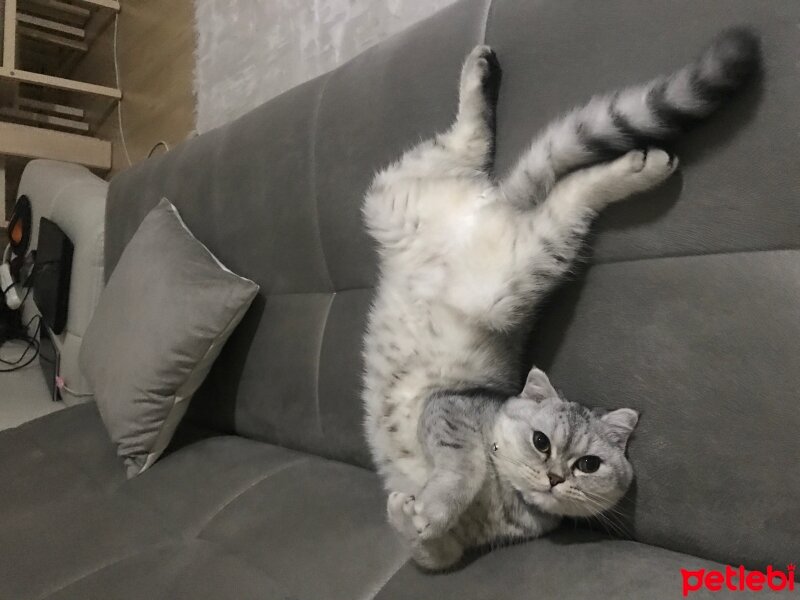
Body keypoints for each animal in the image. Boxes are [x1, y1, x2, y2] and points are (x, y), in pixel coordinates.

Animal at [360, 29, 756, 572]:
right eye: (540, 442)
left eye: (588, 464)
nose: (555, 477)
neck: (505, 500)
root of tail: (499, 204)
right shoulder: (448, 409)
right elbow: (461, 472)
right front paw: (424, 509)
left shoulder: (453, 536)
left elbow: (433, 545)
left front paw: (414, 514)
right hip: (445, 224)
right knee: (516, 162)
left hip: (514, 255)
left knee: (538, 176)